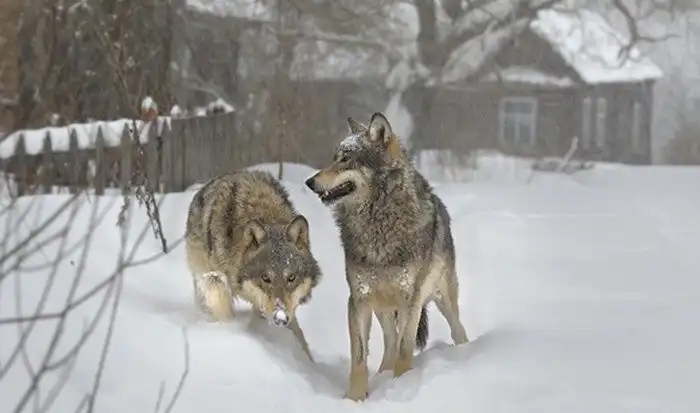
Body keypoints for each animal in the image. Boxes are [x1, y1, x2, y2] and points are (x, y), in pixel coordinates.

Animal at [185, 170, 322, 362]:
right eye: (265, 278)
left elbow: (299, 336)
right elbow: (225, 313)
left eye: (291, 277)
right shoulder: (215, 281)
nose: (280, 319)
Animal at [305, 112, 469, 401]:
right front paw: (355, 398)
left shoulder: (410, 300)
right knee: (390, 344)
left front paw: (402, 389)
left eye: (346, 159)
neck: (378, 222)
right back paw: (382, 376)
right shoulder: (359, 299)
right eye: (334, 158)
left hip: (442, 299)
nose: (310, 182)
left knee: (456, 329)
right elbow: (359, 359)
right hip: (382, 307)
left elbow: (405, 351)